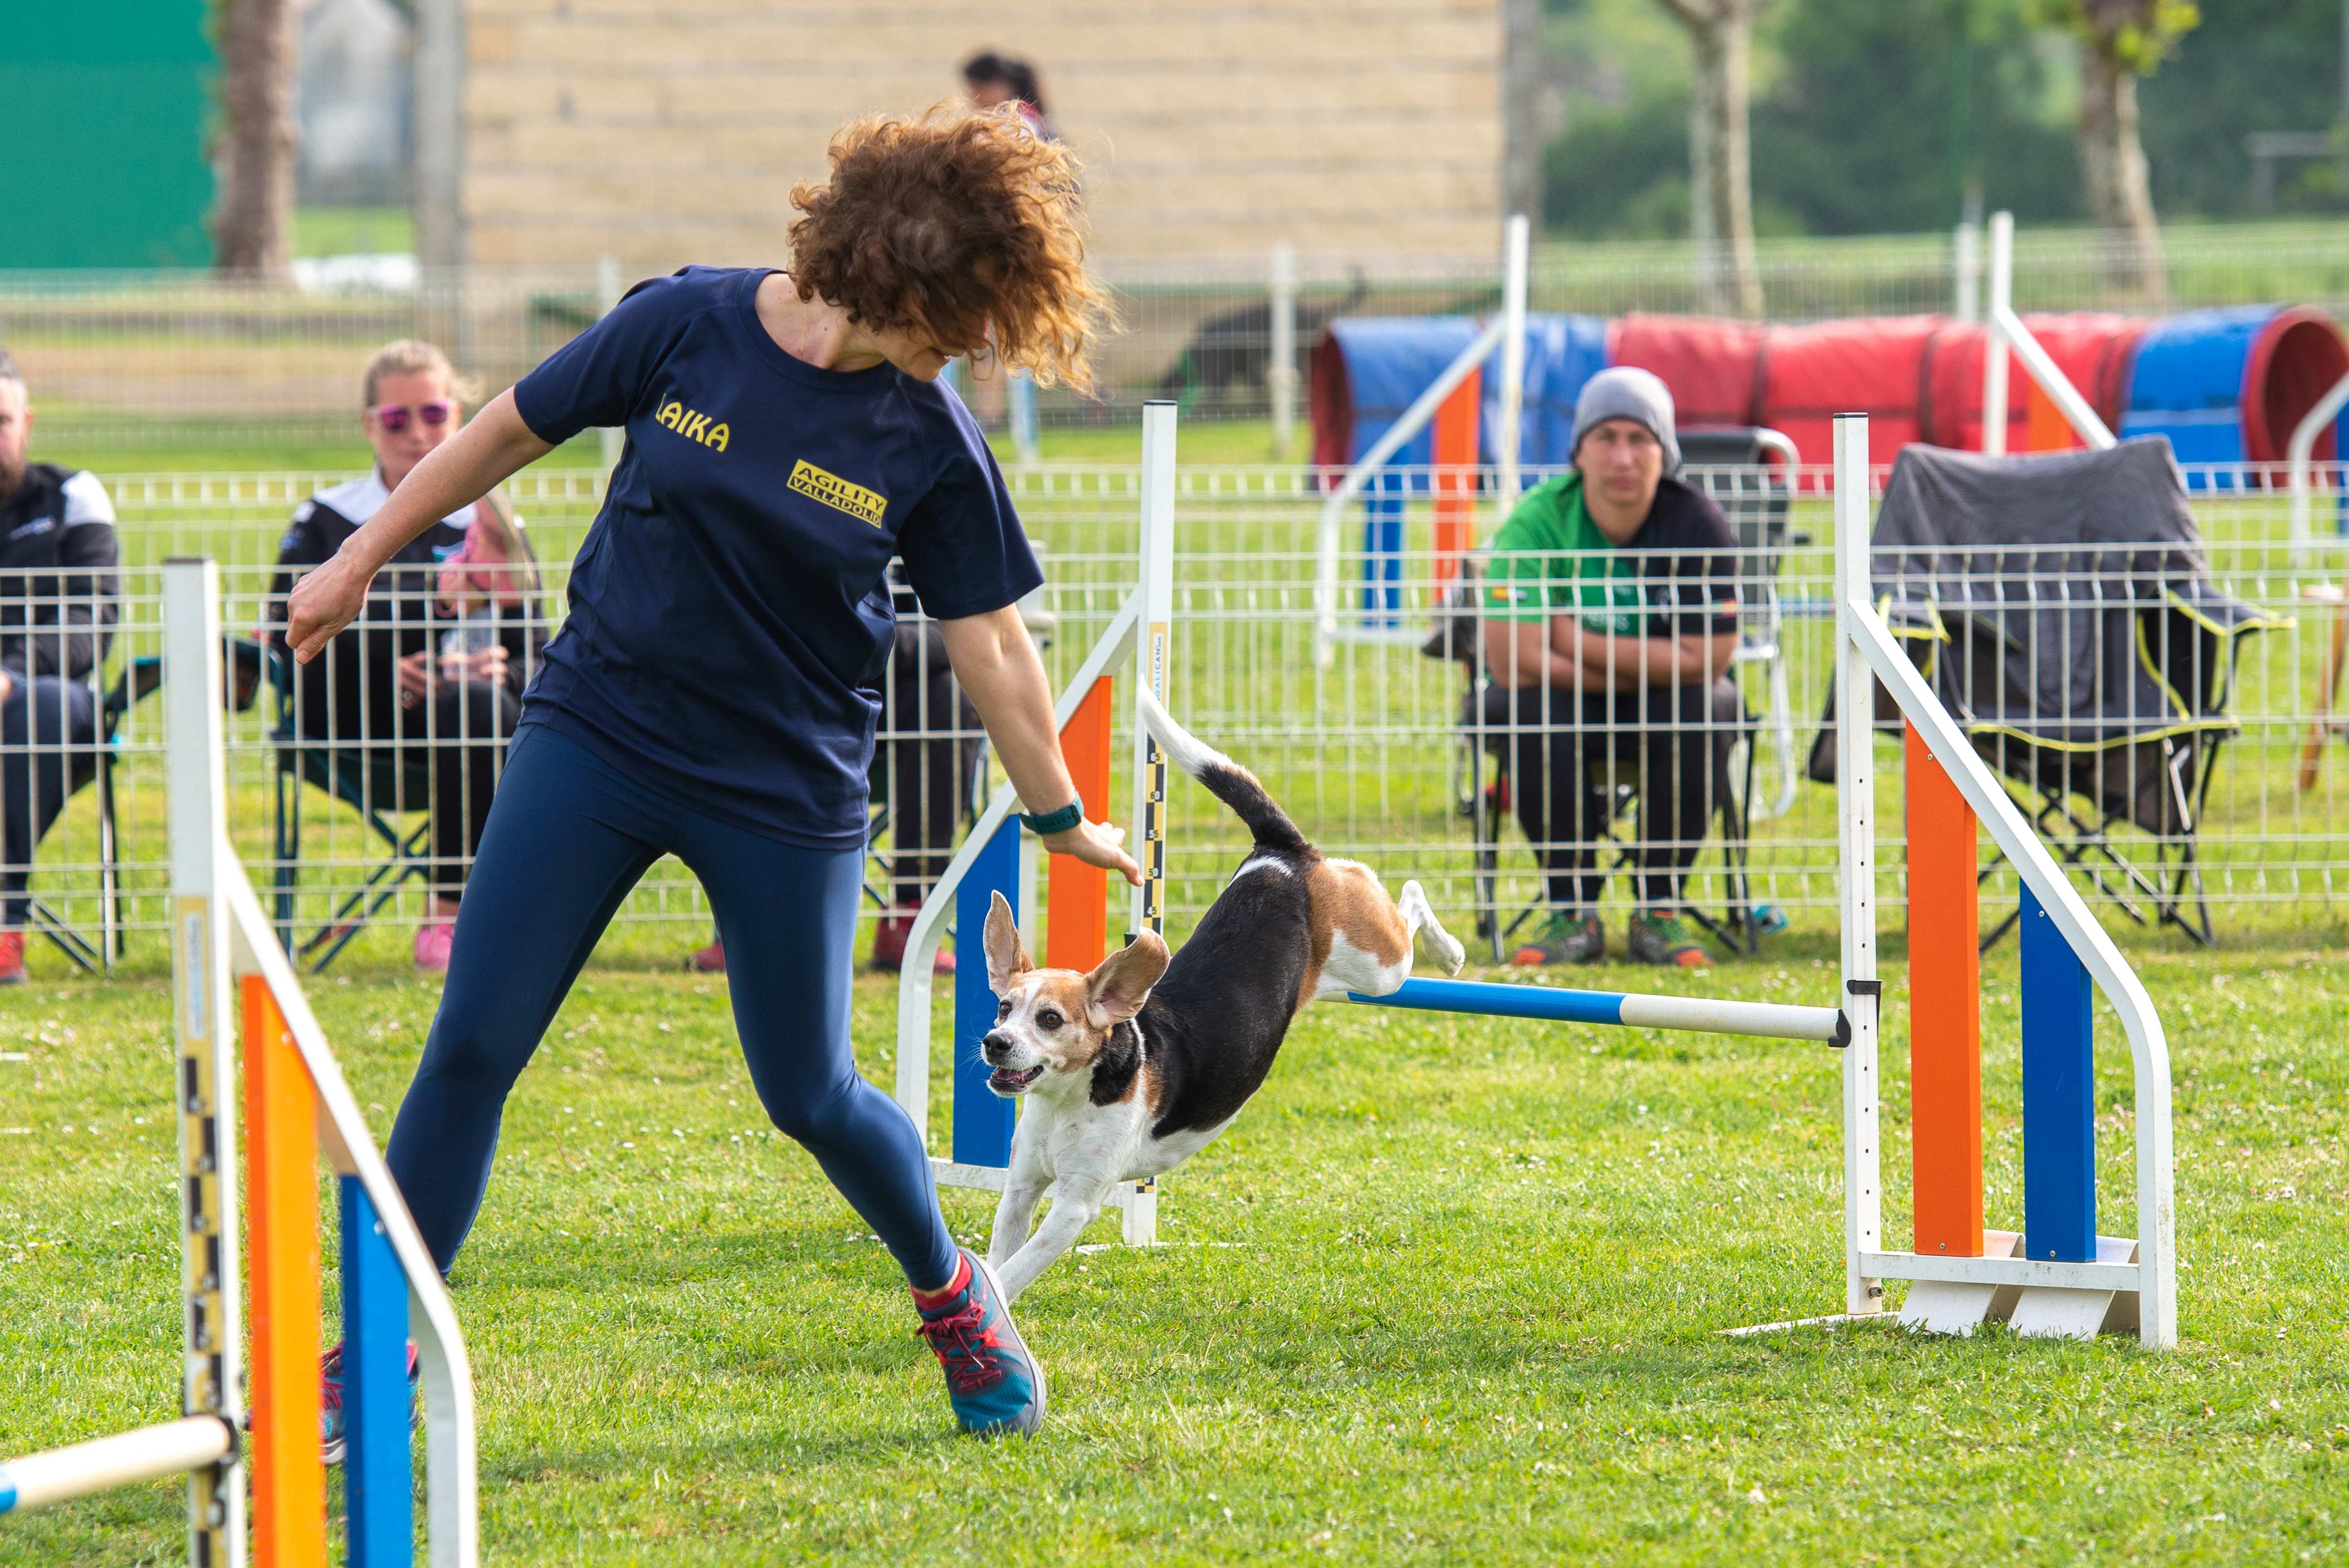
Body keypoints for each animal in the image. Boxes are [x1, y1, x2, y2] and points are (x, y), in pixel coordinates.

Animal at [968, 690, 1447, 1296]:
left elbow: (1010, 1274)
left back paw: (1449, 950)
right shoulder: (1021, 1188)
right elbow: (999, 1256)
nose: (995, 1042)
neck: (1071, 1099)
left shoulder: (1072, 1208)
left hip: (1379, 966)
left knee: (1405, 894)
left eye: (1050, 1019)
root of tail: (1279, 854)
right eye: (1004, 1008)